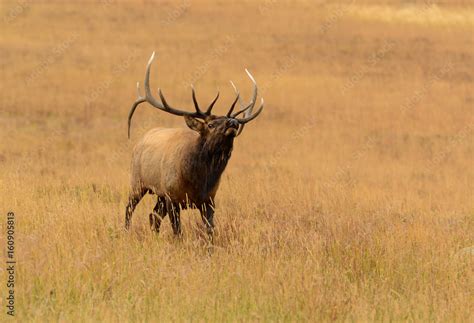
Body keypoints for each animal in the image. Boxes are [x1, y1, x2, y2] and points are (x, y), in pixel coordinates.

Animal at [125, 53, 262, 240]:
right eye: (210, 124)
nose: (233, 122)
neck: (199, 179)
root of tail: (140, 141)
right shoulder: (172, 196)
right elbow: (178, 232)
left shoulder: (209, 200)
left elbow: (210, 231)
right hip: (137, 181)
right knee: (129, 208)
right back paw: (125, 232)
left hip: (159, 195)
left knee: (153, 215)